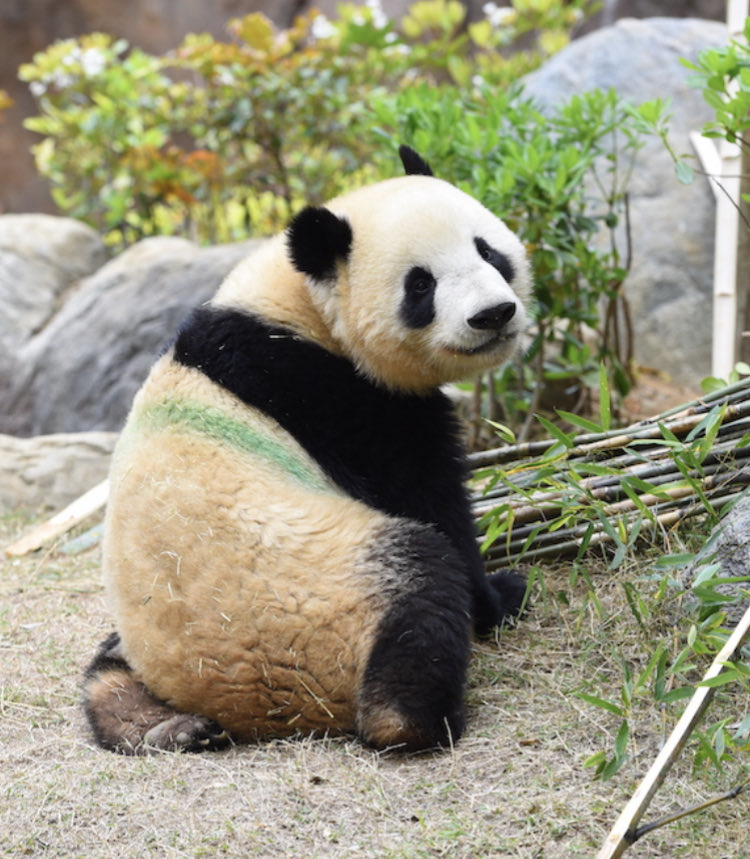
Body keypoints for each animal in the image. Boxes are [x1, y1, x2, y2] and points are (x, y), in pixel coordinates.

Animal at [83, 148, 536, 752]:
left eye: (487, 250)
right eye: (420, 285)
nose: (493, 314)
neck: (301, 307)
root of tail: (236, 703)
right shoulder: (336, 398)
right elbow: (432, 504)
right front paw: (500, 597)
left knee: (106, 670)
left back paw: (160, 725)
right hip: (317, 606)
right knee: (419, 578)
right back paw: (418, 717)